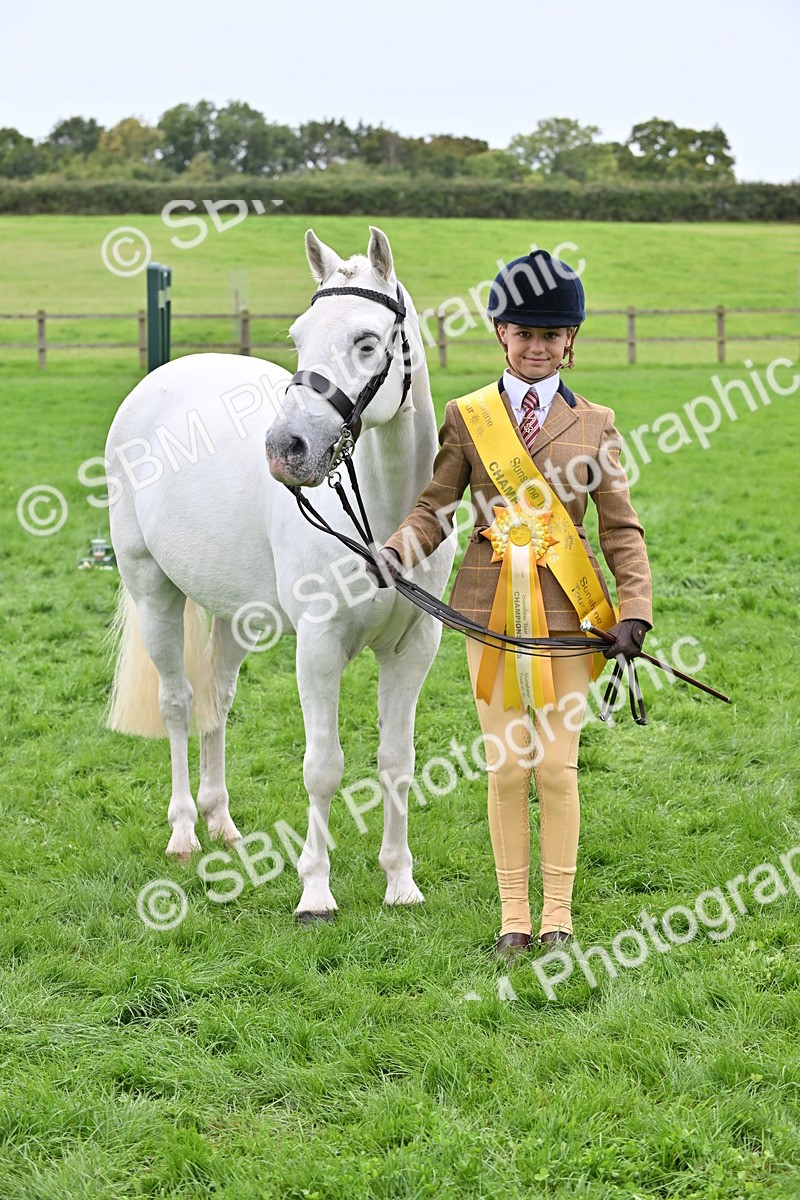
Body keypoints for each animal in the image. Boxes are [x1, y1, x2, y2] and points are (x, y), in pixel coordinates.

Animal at [105, 226, 457, 920]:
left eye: (366, 341)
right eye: (297, 336)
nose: (285, 449)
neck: (383, 516)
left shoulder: (413, 647)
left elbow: (397, 761)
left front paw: (400, 882)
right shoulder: (318, 647)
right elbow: (323, 767)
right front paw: (315, 891)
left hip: (233, 615)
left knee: (214, 702)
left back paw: (221, 822)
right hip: (152, 591)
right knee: (179, 704)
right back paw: (184, 831)